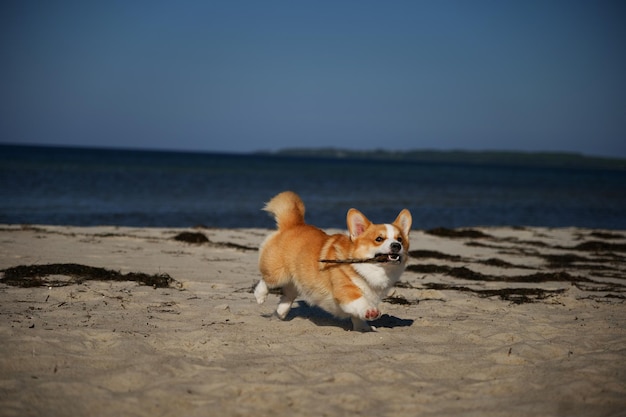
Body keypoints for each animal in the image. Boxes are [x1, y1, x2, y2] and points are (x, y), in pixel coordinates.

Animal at [254, 190, 410, 330]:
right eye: (379, 239)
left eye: (400, 239)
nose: (396, 245)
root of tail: (293, 224)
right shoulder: (345, 290)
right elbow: (360, 301)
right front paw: (370, 312)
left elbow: (357, 317)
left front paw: (363, 328)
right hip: (277, 273)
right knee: (266, 280)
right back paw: (260, 296)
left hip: (298, 280)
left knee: (288, 294)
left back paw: (281, 312)